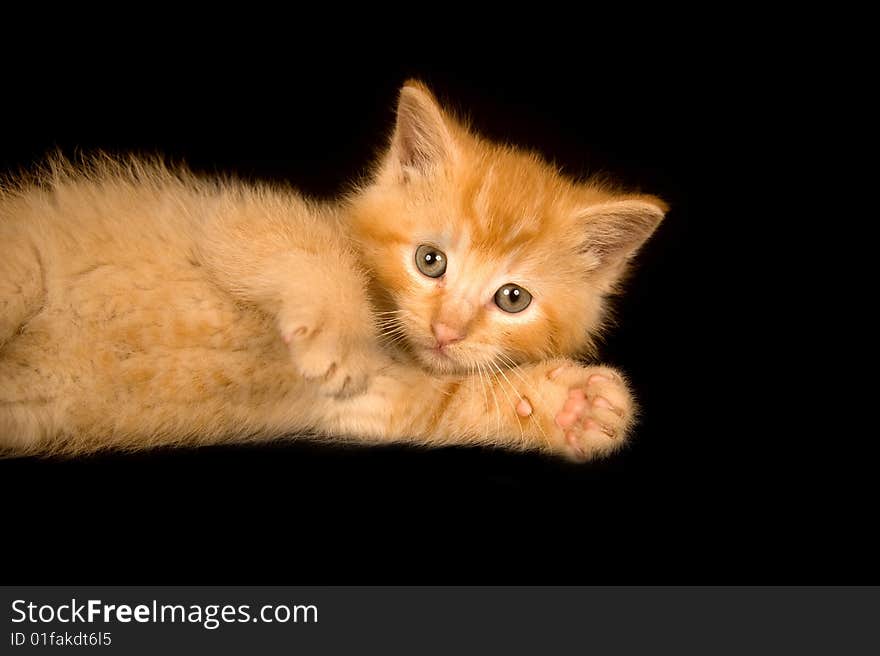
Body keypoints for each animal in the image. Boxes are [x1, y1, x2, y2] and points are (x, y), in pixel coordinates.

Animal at [0, 82, 664, 462]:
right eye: (430, 261)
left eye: (512, 299)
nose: (447, 330)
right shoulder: (230, 220)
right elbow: (309, 256)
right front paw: (338, 335)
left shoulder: (366, 399)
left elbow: (435, 400)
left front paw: (572, 405)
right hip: (19, 268)